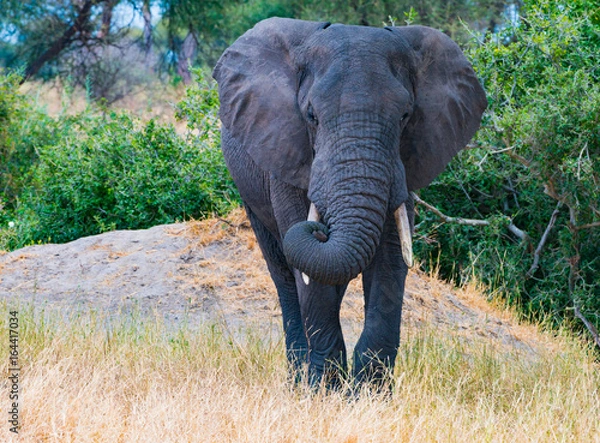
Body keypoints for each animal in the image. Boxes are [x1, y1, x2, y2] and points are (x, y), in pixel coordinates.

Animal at [213, 17, 486, 388]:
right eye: (311, 115)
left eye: (405, 116)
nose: (320, 229)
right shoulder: (285, 149)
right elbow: (309, 275)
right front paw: (323, 392)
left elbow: (391, 260)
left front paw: (371, 395)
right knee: (284, 275)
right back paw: (297, 382)